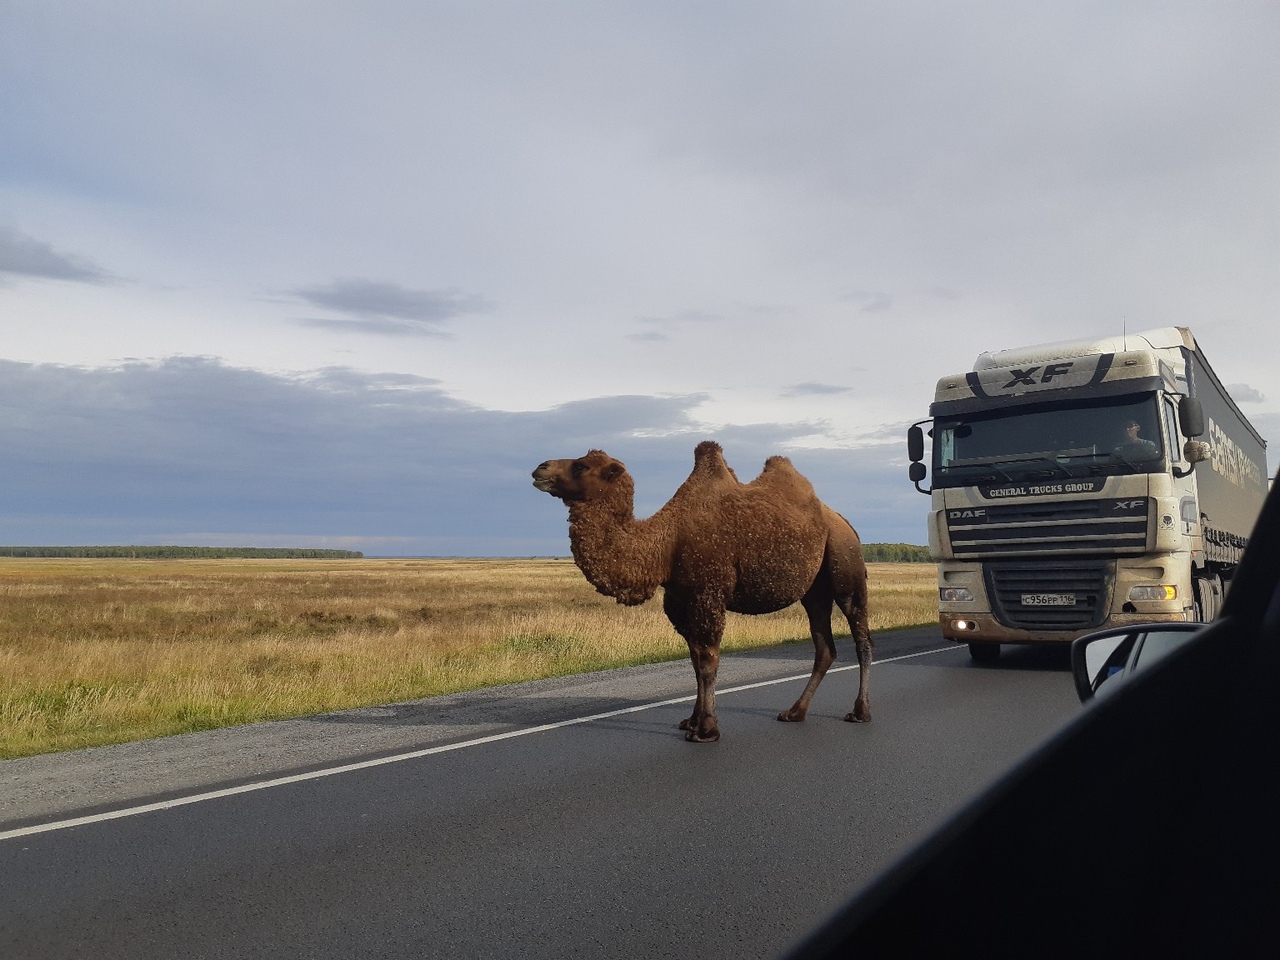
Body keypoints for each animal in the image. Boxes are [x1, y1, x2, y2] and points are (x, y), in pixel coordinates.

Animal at [529, 442, 870, 742]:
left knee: (861, 636)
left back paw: (860, 712)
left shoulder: (708, 593)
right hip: (814, 591)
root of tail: (844, 521)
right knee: (824, 646)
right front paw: (691, 722)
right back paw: (795, 712)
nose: (540, 468)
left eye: (581, 466)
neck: (666, 544)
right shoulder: (679, 602)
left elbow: (707, 660)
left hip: (846, 565)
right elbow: (694, 659)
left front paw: (706, 730)